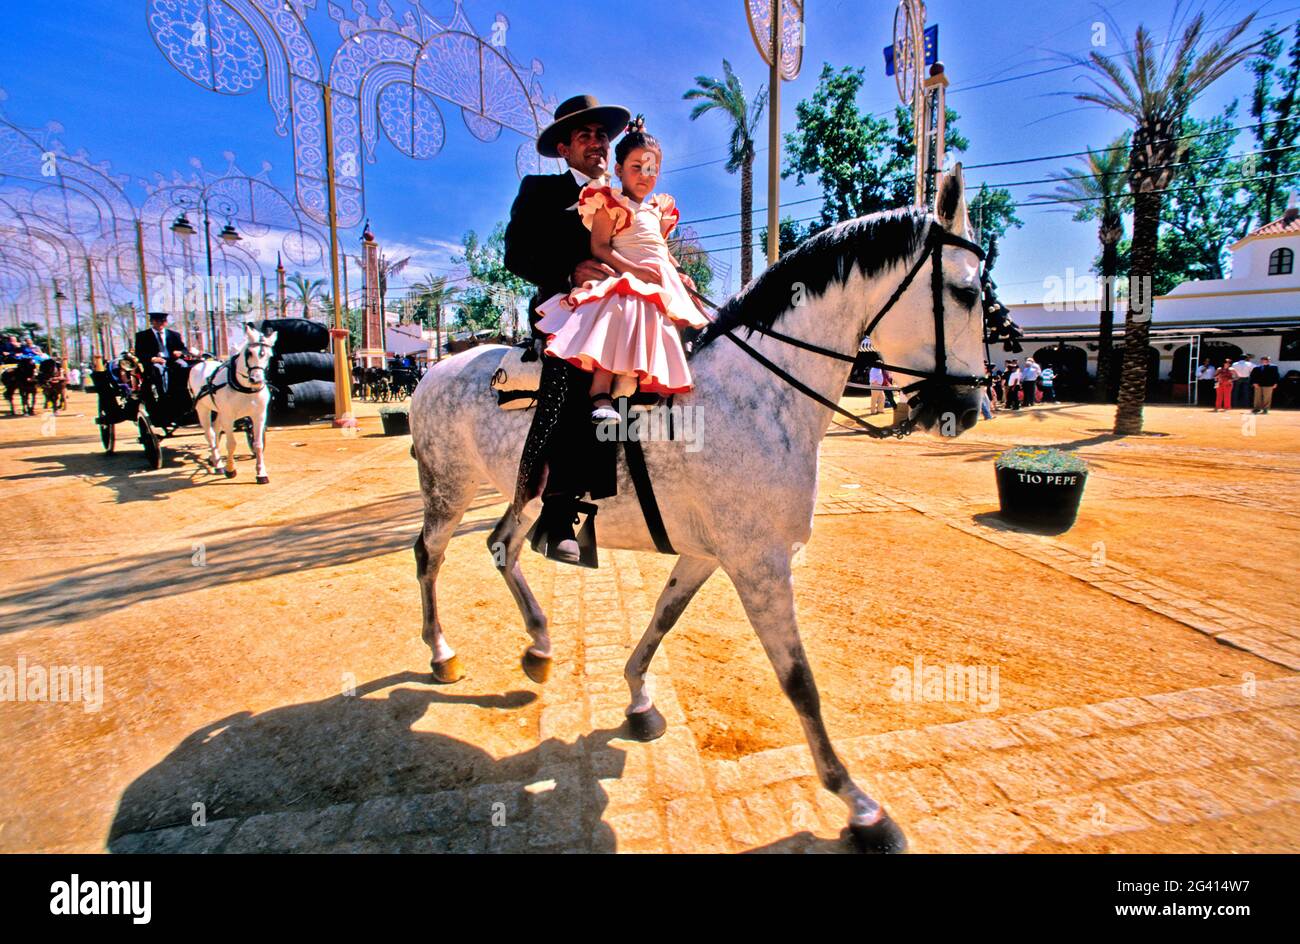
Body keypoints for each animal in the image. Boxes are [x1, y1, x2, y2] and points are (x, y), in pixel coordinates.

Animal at [188, 328, 276, 483]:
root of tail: (201, 363)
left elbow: (258, 445)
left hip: (218, 411)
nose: (257, 380)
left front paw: (261, 473)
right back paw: (218, 464)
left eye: (269, 355)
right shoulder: (228, 417)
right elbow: (231, 444)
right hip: (203, 409)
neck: (244, 387)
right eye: (249, 353)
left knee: (216, 429)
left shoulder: (259, 415)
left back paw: (214, 459)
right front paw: (230, 469)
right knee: (210, 434)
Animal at [410, 166, 987, 852]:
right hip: (449, 489)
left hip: (524, 495)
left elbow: (662, 618)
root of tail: (436, 369)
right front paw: (861, 806)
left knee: (501, 547)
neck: (760, 391)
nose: (967, 409)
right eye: (967, 292)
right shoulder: (759, 565)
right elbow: (799, 682)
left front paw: (638, 701)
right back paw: (441, 653)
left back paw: (541, 646)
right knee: (430, 555)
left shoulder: (707, 555)